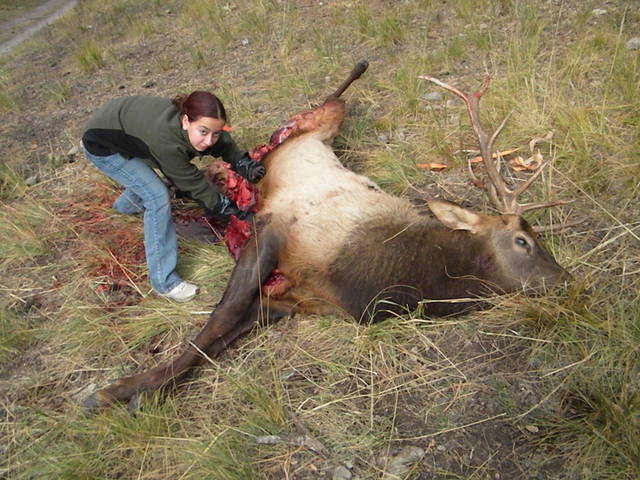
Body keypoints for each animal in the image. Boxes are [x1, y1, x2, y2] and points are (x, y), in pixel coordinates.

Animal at [83, 62, 569, 412]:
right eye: (524, 241)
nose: (566, 281)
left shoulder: (290, 300)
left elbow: (219, 339)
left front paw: (139, 391)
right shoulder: (273, 232)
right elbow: (219, 319)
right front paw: (116, 391)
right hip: (309, 128)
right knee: (309, 113)